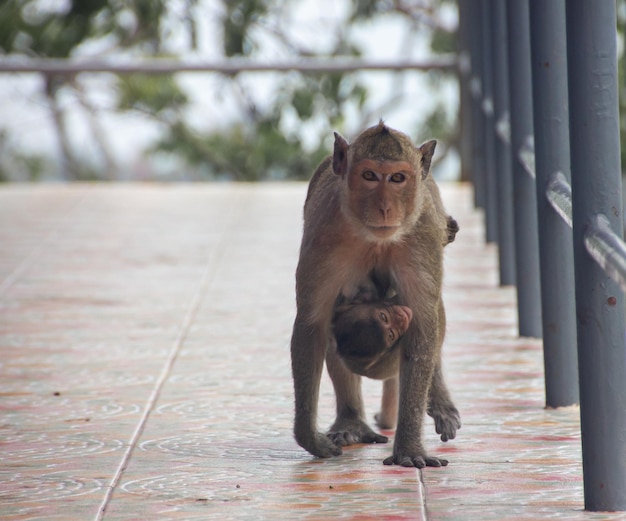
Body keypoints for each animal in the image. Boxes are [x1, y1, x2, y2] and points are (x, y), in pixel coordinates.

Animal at [288, 121, 458, 468]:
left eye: (397, 178)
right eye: (369, 176)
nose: (384, 207)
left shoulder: (422, 235)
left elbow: (423, 324)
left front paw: (409, 447)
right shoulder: (325, 235)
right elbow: (313, 324)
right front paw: (310, 437)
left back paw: (438, 399)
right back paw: (352, 422)